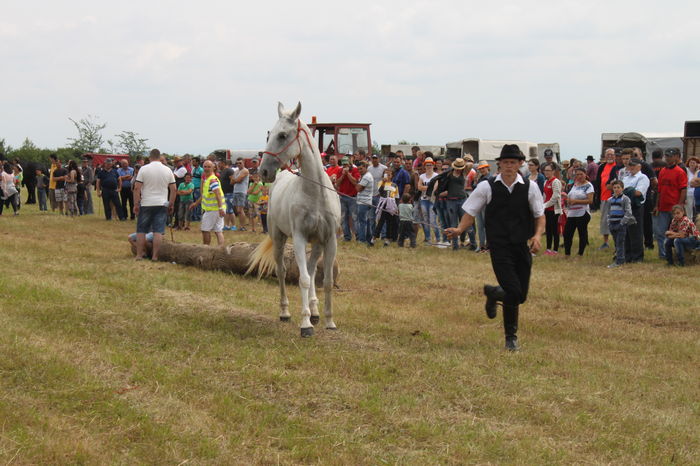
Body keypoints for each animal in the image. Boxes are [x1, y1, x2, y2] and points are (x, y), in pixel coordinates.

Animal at [249, 102, 342, 336]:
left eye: (282, 135)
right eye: (269, 134)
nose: (263, 171)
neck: (316, 194)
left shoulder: (329, 240)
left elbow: (326, 280)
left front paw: (329, 321)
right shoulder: (299, 238)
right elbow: (304, 279)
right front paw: (305, 324)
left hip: (317, 244)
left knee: (311, 269)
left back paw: (315, 311)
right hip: (279, 238)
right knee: (282, 271)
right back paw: (285, 312)